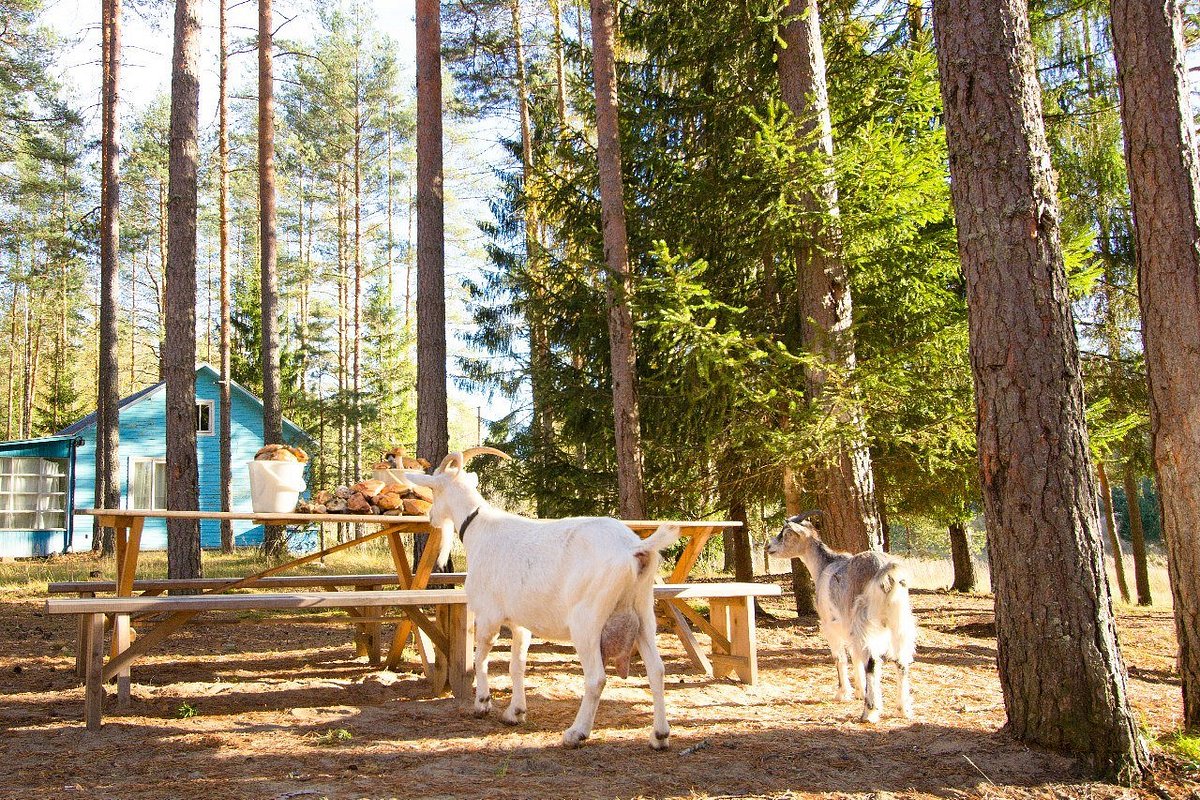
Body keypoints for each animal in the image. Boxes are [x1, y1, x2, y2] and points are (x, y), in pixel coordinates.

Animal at [405, 450, 681, 753]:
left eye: (433, 490)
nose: (430, 517)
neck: (479, 528)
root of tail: (635, 548)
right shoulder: (520, 624)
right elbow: (516, 665)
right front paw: (515, 712)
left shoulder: (488, 616)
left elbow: (480, 659)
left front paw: (482, 704)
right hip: (643, 612)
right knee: (657, 670)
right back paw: (659, 736)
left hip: (587, 621)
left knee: (596, 677)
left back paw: (576, 733)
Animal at [768, 513, 916, 724]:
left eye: (786, 533)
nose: (768, 547)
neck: (824, 566)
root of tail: (887, 572)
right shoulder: (850, 628)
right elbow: (855, 656)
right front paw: (860, 691)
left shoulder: (830, 625)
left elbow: (840, 657)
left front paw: (843, 693)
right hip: (899, 619)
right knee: (901, 660)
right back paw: (903, 708)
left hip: (866, 620)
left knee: (872, 660)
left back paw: (869, 712)